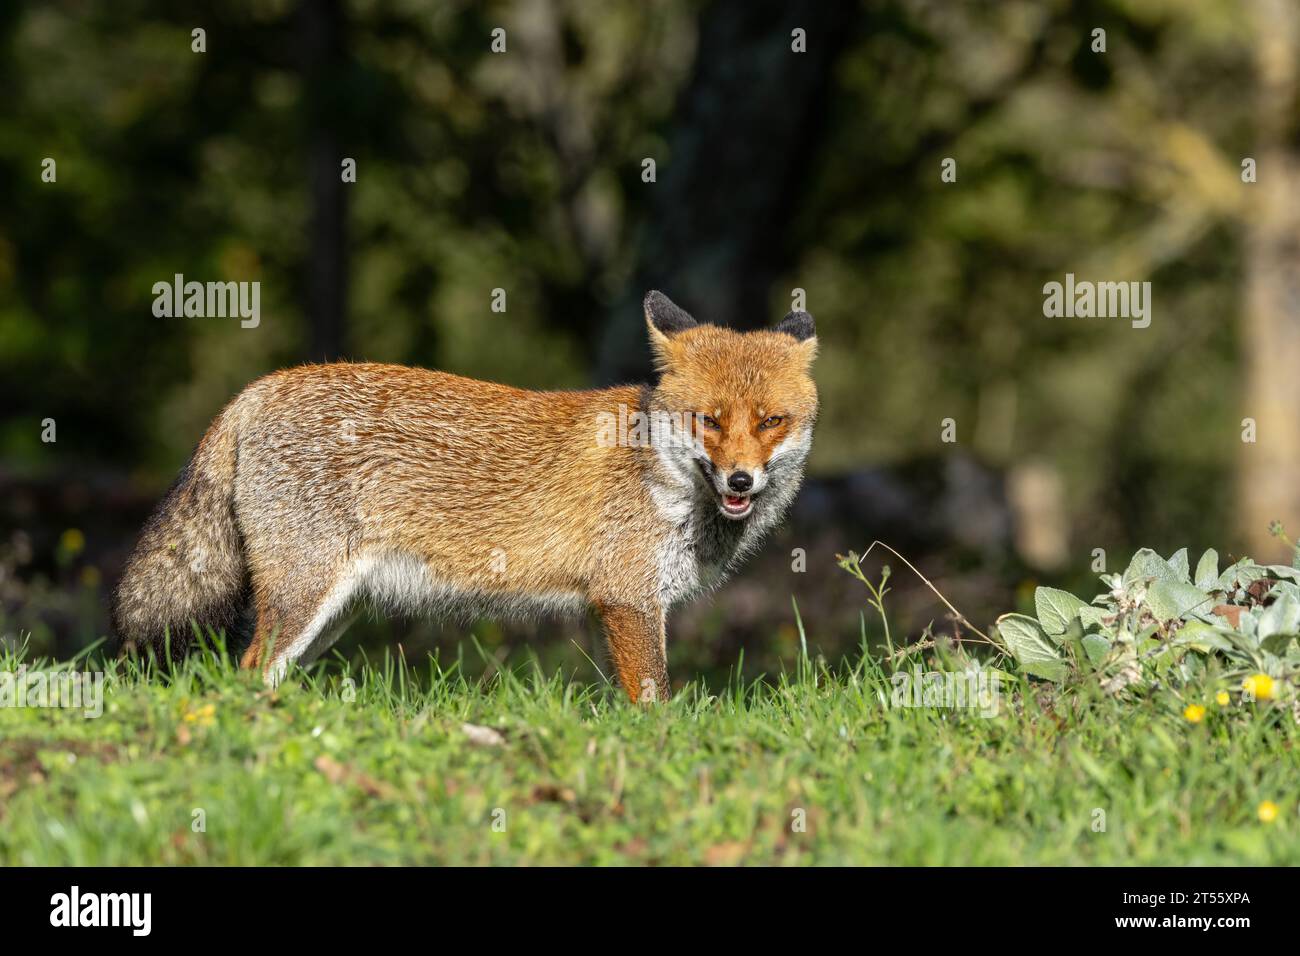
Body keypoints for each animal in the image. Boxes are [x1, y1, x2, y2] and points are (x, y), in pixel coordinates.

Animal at [111, 291, 818, 701]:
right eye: (710, 422)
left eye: (770, 422)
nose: (740, 481)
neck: (660, 476)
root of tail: (260, 387)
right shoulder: (627, 599)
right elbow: (653, 702)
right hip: (303, 596)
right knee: (247, 672)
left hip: (332, 611)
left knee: (259, 677)